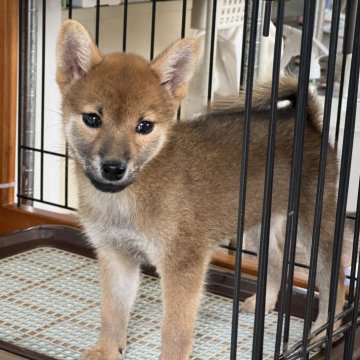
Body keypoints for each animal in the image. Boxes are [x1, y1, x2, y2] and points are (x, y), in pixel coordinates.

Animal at [56, 20, 346, 360]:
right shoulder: (116, 255)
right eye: (92, 119)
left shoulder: (184, 264)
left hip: (314, 227)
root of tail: (308, 123)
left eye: (144, 126)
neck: (124, 199)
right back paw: (264, 304)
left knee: (334, 282)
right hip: (257, 223)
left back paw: (323, 332)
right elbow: (112, 311)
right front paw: (107, 350)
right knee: (276, 263)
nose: (114, 168)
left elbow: (175, 329)